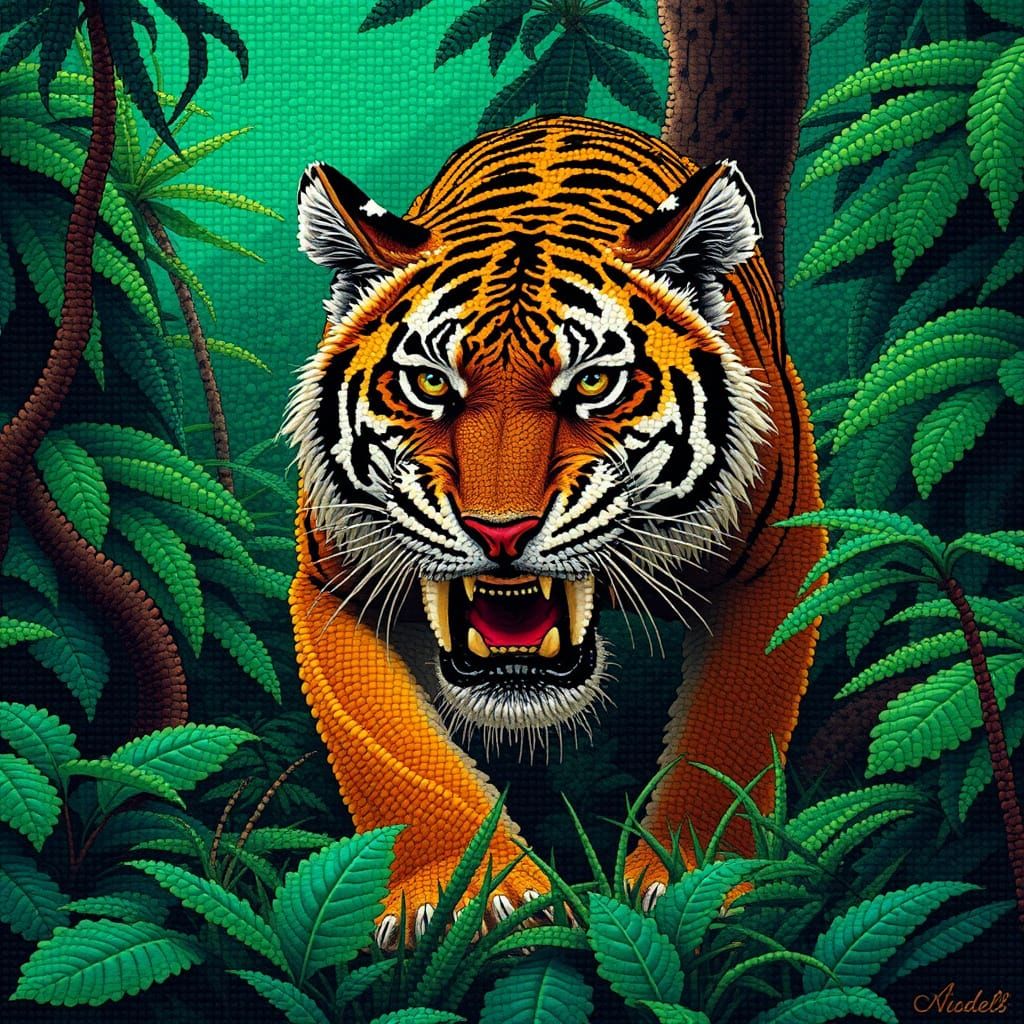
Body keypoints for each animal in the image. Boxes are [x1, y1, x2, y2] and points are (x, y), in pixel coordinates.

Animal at [284, 115, 825, 948]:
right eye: (431, 382)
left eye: (593, 383)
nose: (499, 531)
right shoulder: (332, 584)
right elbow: (392, 751)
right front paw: (467, 898)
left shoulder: (778, 560)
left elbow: (730, 732)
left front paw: (702, 882)